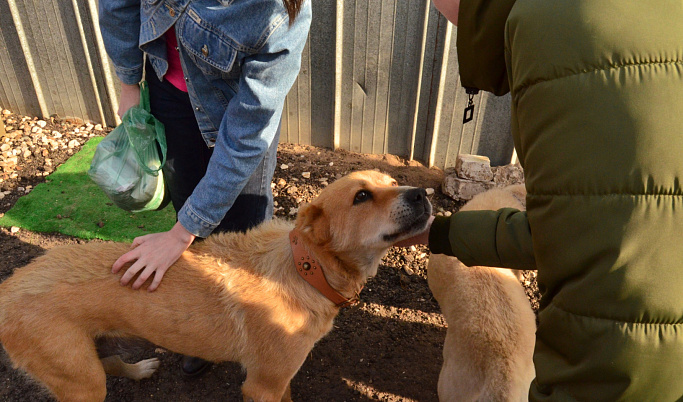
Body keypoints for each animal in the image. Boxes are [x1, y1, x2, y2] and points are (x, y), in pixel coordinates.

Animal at [0, 170, 432, 402]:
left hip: (87, 361)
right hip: (82, 382)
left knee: (110, 363)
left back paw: (139, 369)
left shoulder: (279, 380)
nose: (422, 194)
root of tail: (7, 289)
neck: (305, 267)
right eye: (362, 196)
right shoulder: (262, 384)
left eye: (393, 182)